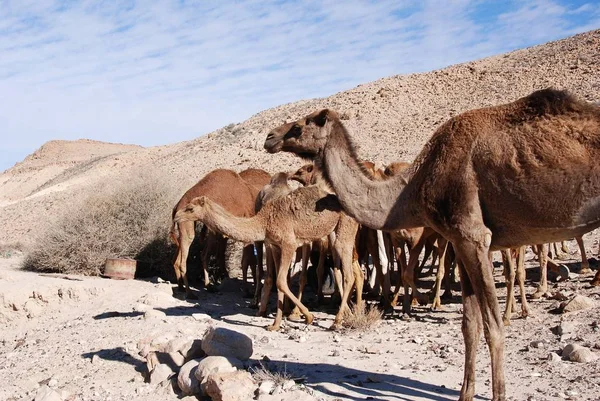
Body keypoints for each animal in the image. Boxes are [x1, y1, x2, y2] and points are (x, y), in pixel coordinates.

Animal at [169, 168, 258, 296]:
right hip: (190, 225)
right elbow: (247, 260)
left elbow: (251, 260)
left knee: (179, 258)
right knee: (190, 258)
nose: (178, 215)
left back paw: (185, 287)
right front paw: (248, 290)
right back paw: (191, 292)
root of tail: (176, 207)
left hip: (189, 228)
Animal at [173, 180, 360, 328]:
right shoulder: (275, 246)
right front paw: (275, 325)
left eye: (190, 208)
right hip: (332, 233)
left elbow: (281, 281)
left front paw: (308, 316)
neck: (263, 222)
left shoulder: (289, 244)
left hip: (345, 227)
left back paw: (337, 321)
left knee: (349, 274)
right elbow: (279, 281)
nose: (176, 216)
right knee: (340, 269)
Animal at [264, 90, 600, 400]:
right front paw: (465, 394)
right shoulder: (461, 243)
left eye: (300, 125)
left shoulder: (474, 236)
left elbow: (493, 326)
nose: (270, 137)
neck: (414, 187)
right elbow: (469, 326)